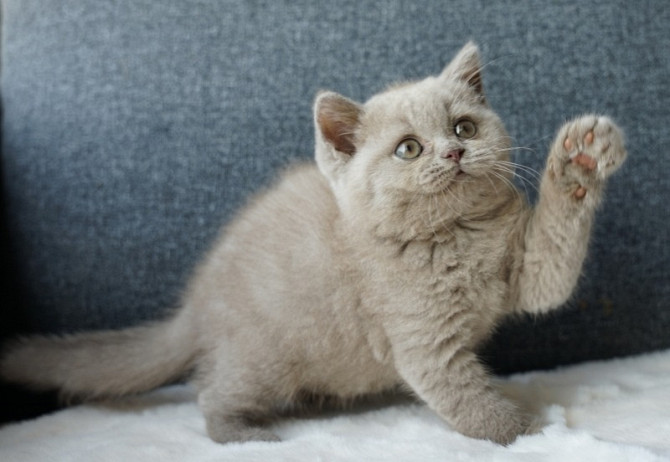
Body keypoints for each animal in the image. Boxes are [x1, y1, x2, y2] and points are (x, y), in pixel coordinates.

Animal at [1, 42, 632, 444]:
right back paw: (246, 435)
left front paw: (581, 159)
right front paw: (533, 435)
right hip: (261, 358)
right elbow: (471, 404)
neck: (453, 237)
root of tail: (194, 308)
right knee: (211, 395)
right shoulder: (424, 344)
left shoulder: (525, 272)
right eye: (409, 149)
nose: (454, 152)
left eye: (464, 128)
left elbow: (554, 263)